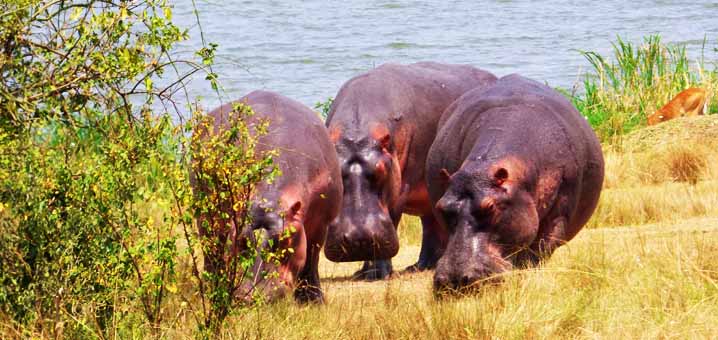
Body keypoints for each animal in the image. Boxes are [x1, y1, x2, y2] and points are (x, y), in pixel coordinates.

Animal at [194, 90, 344, 302]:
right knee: (212, 252)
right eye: (241, 240)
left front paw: (314, 301)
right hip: (205, 214)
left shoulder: (322, 223)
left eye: (283, 240)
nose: (249, 296)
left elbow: (311, 260)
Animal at [324, 61, 498, 278]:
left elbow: (393, 217)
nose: (358, 239)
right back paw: (420, 266)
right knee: (430, 224)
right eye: (335, 174)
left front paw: (378, 274)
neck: (357, 134)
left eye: (381, 170)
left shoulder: (401, 188)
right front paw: (363, 273)